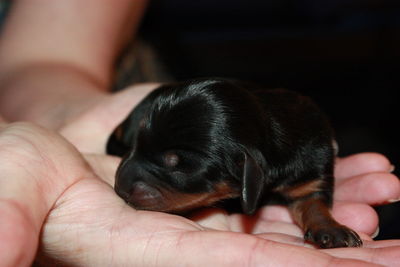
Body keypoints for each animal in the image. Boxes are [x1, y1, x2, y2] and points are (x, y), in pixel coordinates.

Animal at [106, 78, 362, 250]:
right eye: (136, 146)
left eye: (176, 166)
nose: (120, 187)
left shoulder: (312, 172)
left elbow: (314, 204)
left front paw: (331, 229)